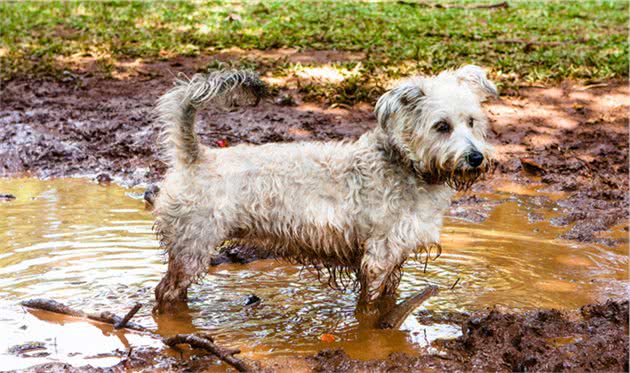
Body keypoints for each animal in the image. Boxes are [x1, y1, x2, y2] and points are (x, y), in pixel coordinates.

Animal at [153, 66, 498, 314]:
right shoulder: (378, 258)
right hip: (192, 248)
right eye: (442, 126)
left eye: (471, 121)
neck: (408, 165)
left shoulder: (395, 258)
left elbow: (389, 296)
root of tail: (195, 158)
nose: (476, 158)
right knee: (165, 292)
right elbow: (369, 306)